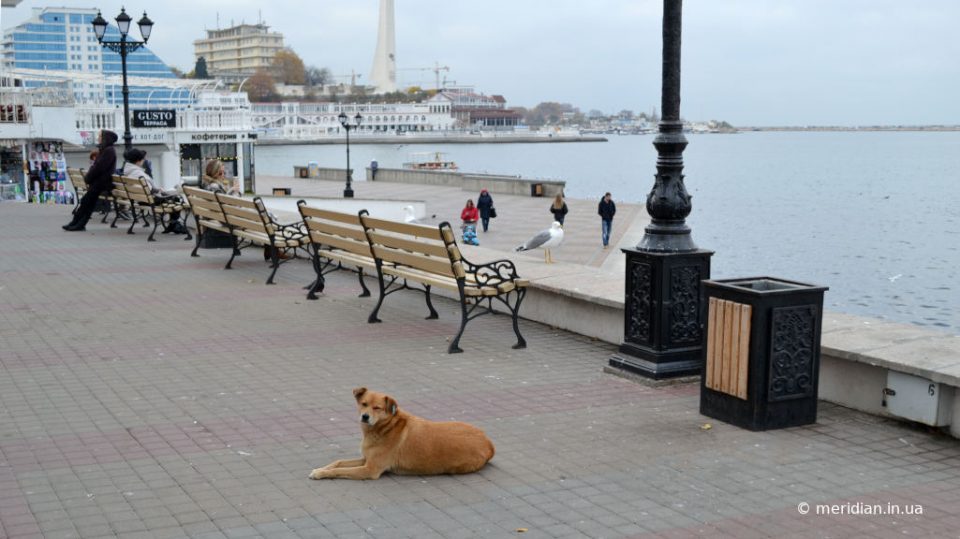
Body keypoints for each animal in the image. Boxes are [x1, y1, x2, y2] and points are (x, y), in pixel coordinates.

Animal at [310, 388, 496, 480]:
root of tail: (489, 443)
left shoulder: (370, 469)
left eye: (377, 407)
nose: (365, 416)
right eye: (364, 404)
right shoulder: (366, 459)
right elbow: (339, 462)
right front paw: (321, 468)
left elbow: (340, 470)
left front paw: (321, 474)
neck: (385, 427)